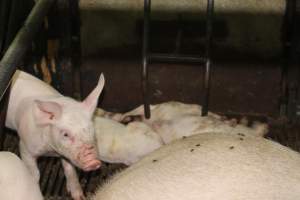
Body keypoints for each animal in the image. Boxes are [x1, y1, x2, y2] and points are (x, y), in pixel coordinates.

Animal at [5, 70, 104, 200]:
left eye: (91, 129)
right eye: (65, 134)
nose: (94, 162)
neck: (50, 151)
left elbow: (70, 170)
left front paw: (79, 196)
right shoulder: (25, 147)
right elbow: (35, 174)